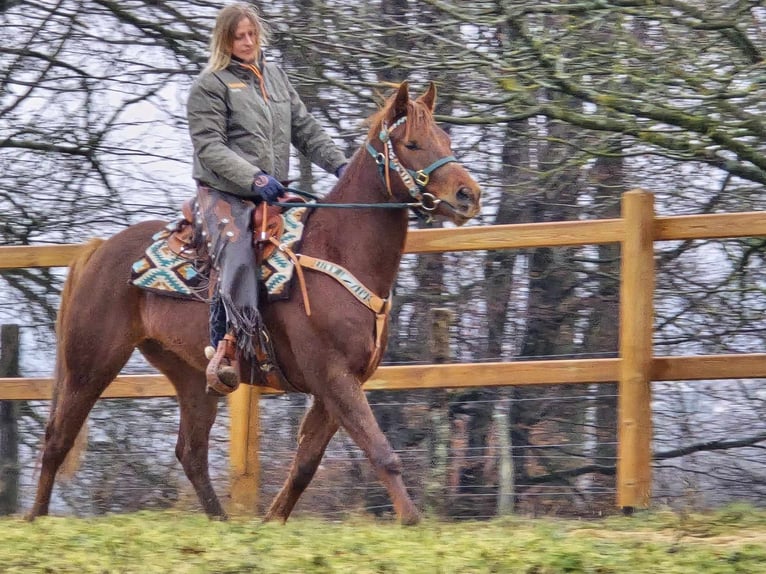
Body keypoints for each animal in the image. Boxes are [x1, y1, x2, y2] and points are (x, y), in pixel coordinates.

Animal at [28, 81, 480, 528]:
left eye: (446, 139)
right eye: (413, 143)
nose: (468, 195)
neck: (338, 251)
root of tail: (99, 249)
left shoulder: (340, 383)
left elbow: (305, 463)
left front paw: (270, 524)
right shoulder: (333, 375)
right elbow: (381, 451)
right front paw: (412, 521)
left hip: (192, 374)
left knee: (190, 452)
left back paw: (222, 522)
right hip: (91, 363)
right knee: (57, 438)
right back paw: (36, 519)